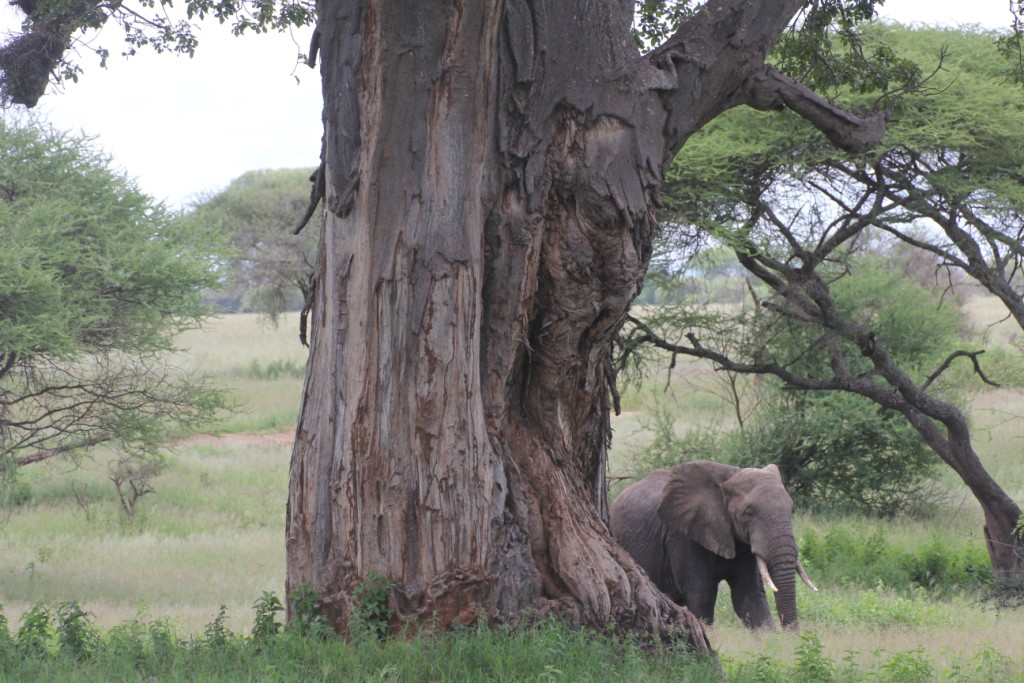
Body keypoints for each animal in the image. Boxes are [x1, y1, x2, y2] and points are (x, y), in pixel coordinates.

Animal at [606, 458, 815, 630]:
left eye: (791, 508)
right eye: (748, 513)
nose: (792, 635)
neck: (728, 477)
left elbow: (749, 595)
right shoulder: (684, 536)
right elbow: (702, 594)